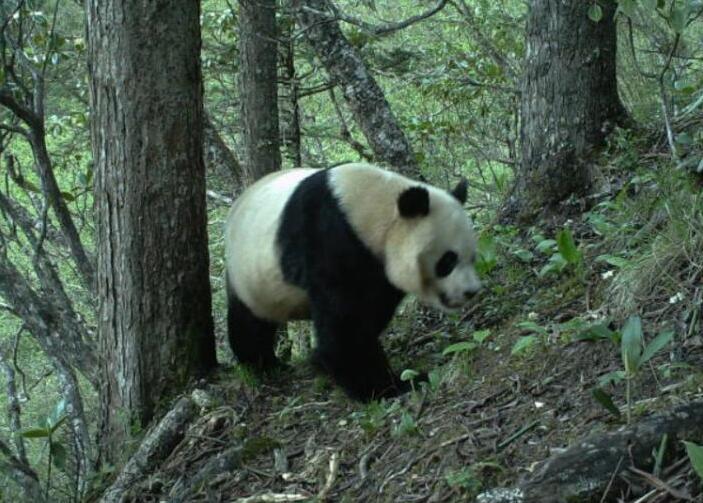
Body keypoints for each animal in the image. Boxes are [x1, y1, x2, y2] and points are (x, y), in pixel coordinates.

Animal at [224, 162, 478, 402]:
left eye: (472, 257)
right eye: (448, 260)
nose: (471, 292)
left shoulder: (379, 270)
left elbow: (372, 311)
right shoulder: (328, 239)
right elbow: (346, 324)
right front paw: (387, 387)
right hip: (248, 273)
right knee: (249, 321)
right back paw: (261, 363)